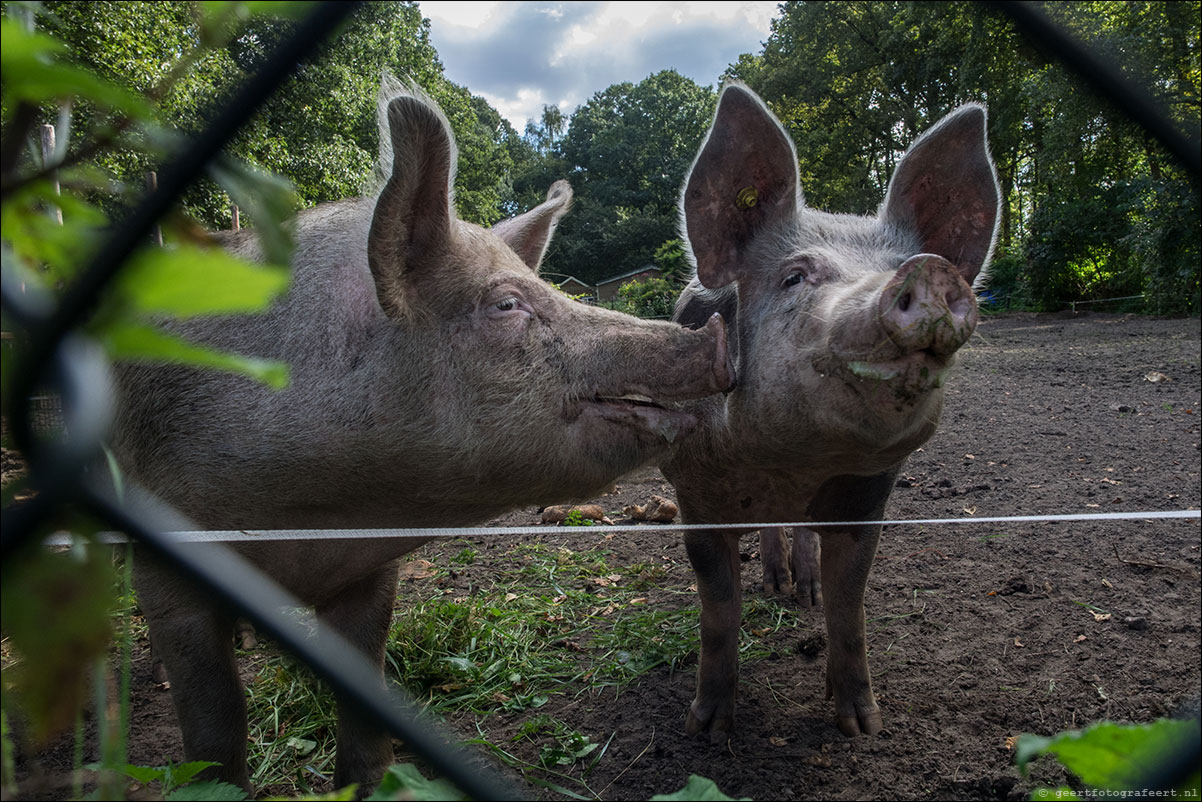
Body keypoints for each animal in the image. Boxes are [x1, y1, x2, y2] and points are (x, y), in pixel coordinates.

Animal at [112, 78, 730, 793]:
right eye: (506, 304)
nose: (716, 329)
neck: (316, 517)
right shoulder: (169, 563)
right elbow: (215, 728)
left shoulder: (371, 570)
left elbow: (365, 705)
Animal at [663, 84, 1000, 745]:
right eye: (795, 276)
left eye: (905, 262)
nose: (927, 270)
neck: (793, 467)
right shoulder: (696, 498)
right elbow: (719, 608)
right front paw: (707, 730)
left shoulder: (866, 502)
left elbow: (851, 607)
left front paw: (864, 728)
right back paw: (777, 587)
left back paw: (804, 593)